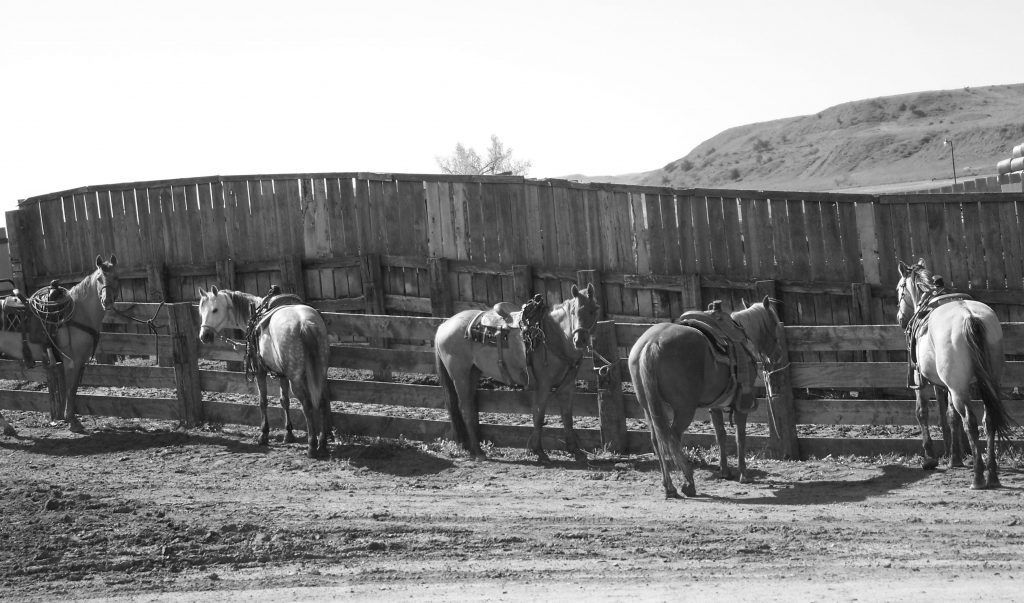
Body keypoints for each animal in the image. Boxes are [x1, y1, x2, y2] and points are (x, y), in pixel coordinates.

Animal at [0, 255, 119, 435]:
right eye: (99, 278)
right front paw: (72, 421)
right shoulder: (72, 362)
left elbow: (73, 389)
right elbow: (70, 390)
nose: (108, 301)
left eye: (116, 277)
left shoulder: (80, 362)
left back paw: (8, 427)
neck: (78, 313)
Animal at [197, 287, 331, 458]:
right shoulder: (282, 375)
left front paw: (263, 434)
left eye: (215, 309)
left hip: (296, 379)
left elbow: (263, 401)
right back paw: (323, 443)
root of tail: (304, 323)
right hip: (320, 372)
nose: (204, 336)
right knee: (322, 402)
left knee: (307, 405)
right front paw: (288, 434)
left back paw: (312, 446)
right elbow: (284, 401)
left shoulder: (259, 371)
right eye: (201, 311)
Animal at [435, 283, 600, 462]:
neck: (552, 335)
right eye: (573, 312)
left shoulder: (567, 387)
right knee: (465, 409)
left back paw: (472, 449)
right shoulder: (543, 385)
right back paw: (479, 452)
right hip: (460, 376)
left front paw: (575, 451)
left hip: (472, 373)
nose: (580, 340)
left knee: (469, 408)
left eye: (593, 310)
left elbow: (567, 417)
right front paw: (538, 451)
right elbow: (538, 416)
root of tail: (444, 325)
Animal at [628, 297, 785, 499]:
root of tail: (651, 344)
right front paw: (744, 474)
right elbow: (740, 437)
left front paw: (725, 471)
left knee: (657, 440)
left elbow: (720, 435)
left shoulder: (715, 406)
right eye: (774, 323)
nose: (778, 354)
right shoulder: (742, 403)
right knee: (673, 437)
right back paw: (688, 482)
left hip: (648, 406)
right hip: (684, 409)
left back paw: (669, 487)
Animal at [897, 258, 1015, 489]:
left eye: (899, 289)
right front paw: (955, 459)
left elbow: (922, 412)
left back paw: (978, 477)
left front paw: (930, 459)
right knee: (988, 421)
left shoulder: (921, 380)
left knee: (970, 422)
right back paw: (992, 476)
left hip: (958, 388)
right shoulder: (950, 387)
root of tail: (969, 316)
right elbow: (951, 417)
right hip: (984, 383)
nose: (899, 317)